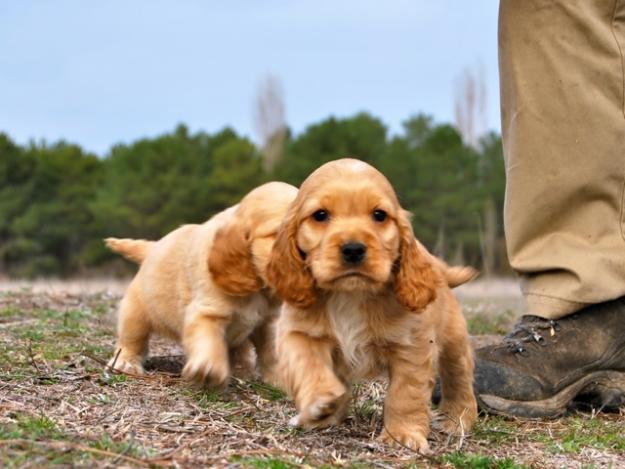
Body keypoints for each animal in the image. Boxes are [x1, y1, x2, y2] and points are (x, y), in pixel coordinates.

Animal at [105, 181, 298, 386]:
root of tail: (153, 247)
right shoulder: (205, 312)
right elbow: (209, 341)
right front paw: (208, 368)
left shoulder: (268, 323)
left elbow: (271, 353)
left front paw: (281, 379)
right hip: (134, 313)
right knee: (131, 339)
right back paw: (126, 363)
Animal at [266, 159, 476, 452]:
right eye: (320, 215)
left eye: (379, 215)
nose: (353, 249)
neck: (351, 294)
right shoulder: (299, 332)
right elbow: (307, 365)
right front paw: (319, 403)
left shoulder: (412, 347)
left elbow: (405, 394)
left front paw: (402, 435)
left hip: (454, 342)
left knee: (459, 378)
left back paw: (458, 419)